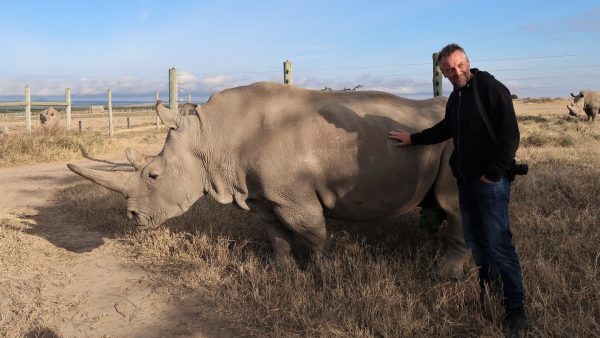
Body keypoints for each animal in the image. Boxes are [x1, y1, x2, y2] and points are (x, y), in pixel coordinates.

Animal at [69, 82, 468, 278]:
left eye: (154, 175)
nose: (132, 217)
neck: (210, 136)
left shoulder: (295, 198)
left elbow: (313, 234)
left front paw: (325, 275)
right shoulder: (261, 194)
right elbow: (276, 234)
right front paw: (282, 271)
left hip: (457, 137)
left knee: (455, 203)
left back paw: (444, 276)